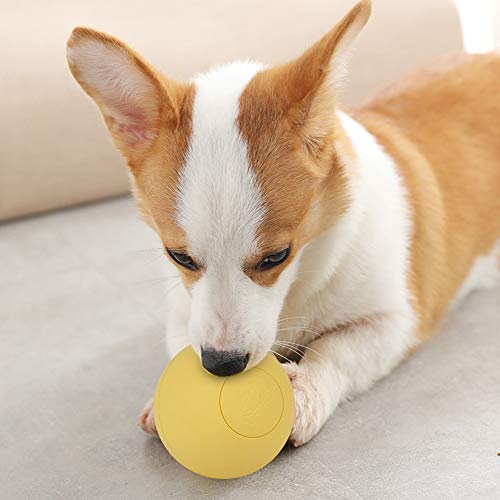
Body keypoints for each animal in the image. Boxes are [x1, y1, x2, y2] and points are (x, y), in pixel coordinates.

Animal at [67, 0, 500, 446]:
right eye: (180, 257)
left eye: (277, 256)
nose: (222, 364)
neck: (300, 283)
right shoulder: (184, 310)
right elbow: (185, 337)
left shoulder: (394, 321)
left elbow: (333, 352)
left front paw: (305, 387)